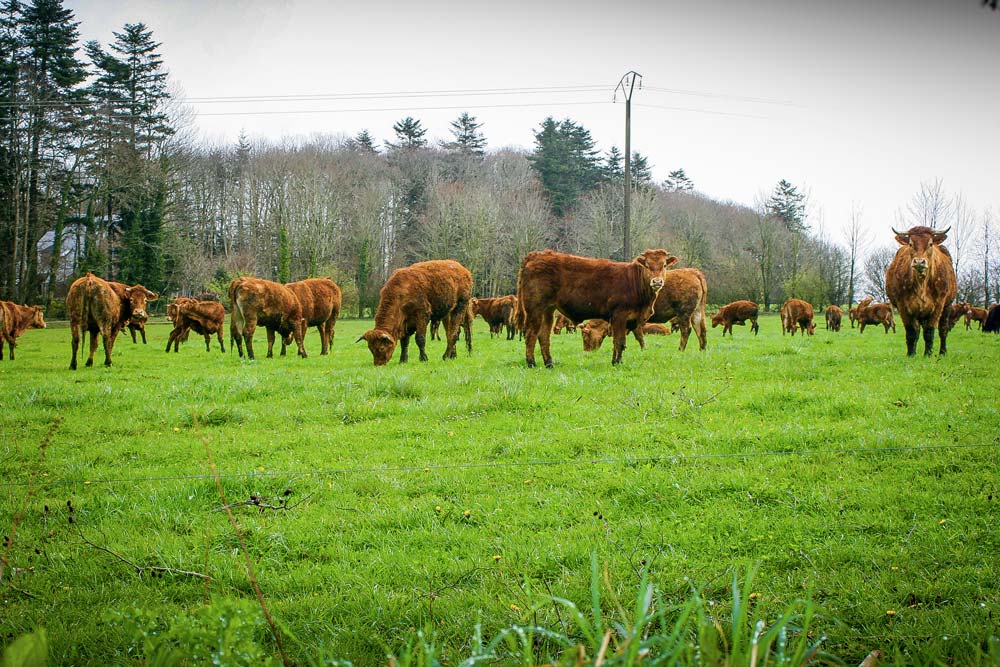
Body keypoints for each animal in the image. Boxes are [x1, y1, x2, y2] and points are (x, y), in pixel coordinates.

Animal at [512, 249, 676, 368]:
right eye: (647, 265)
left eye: (664, 265)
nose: (657, 281)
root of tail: (534, 255)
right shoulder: (619, 316)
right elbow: (620, 341)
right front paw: (616, 363)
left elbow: (618, 342)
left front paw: (616, 361)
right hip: (535, 310)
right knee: (531, 334)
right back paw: (531, 363)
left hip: (548, 310)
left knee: (544, 335)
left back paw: (549, 363)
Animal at [888, 227, 956, 358]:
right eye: (910, 244)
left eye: (930, 244)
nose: (919, 262)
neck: (921, 284)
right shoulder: (902, 305)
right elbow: (911, 332)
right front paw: (910, 354)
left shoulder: (939, 305)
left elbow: (929, 331)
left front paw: (928, 355)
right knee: (917, 330)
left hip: (947, 306)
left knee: (943, 329)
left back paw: (942, 352)